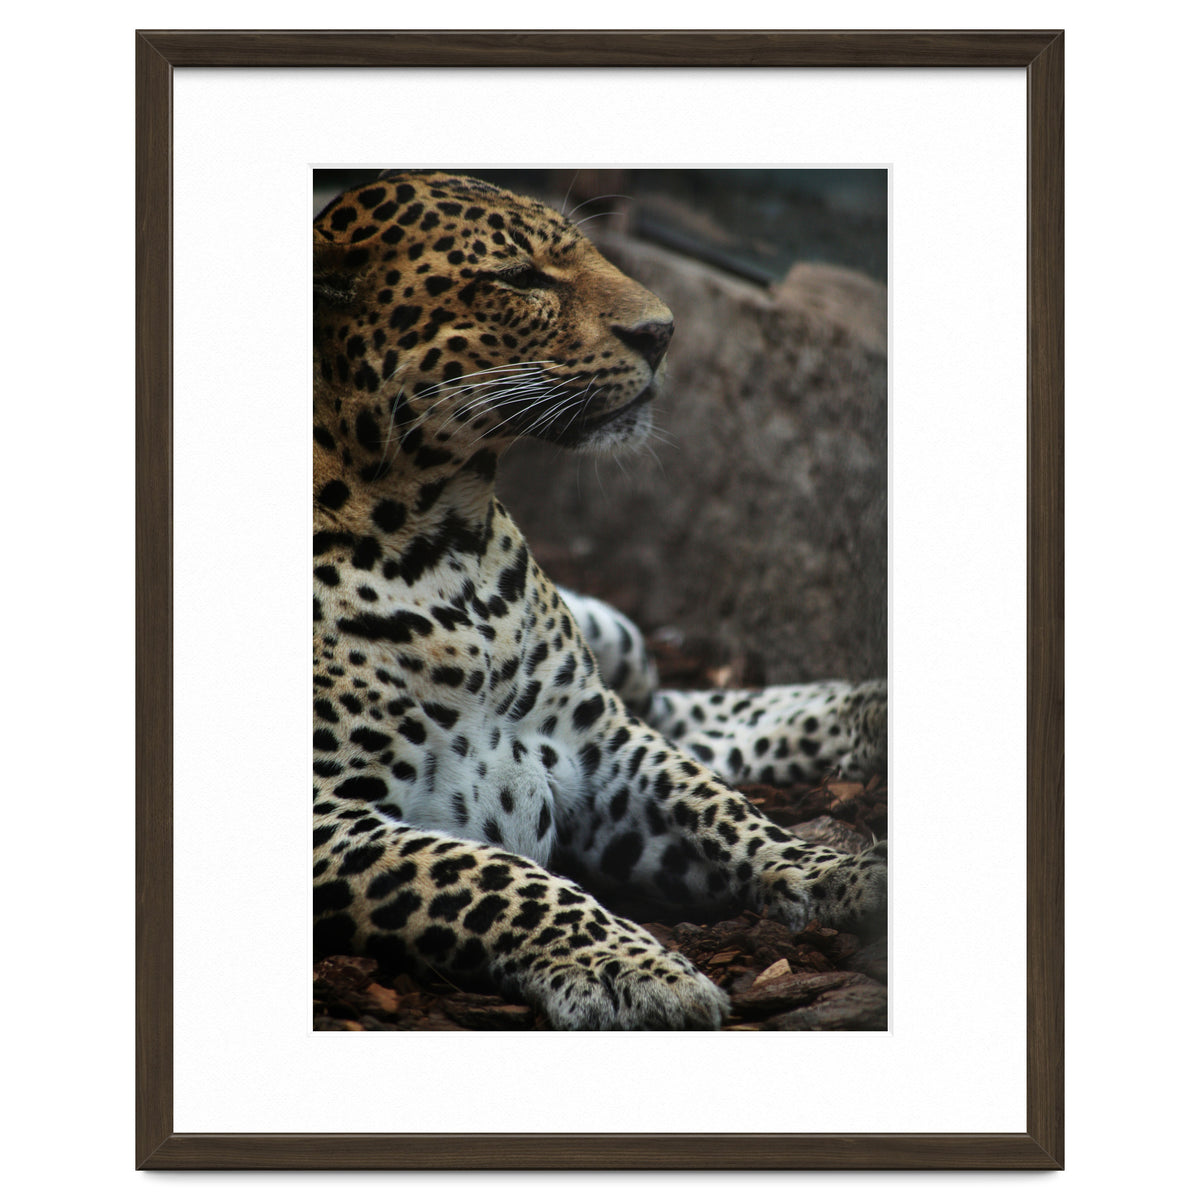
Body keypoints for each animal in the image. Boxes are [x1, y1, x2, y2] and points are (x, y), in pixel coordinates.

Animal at [313, 171, 887, 1030]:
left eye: (583, 252)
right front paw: (634, 970)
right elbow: (493, 877)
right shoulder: (328, 821)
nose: (664, 332)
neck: (444, 542)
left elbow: (720, 808)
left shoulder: (598, 743)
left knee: (678, 711)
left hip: (619, 649)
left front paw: (840, 874)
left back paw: (870, 711)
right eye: (519, 278)